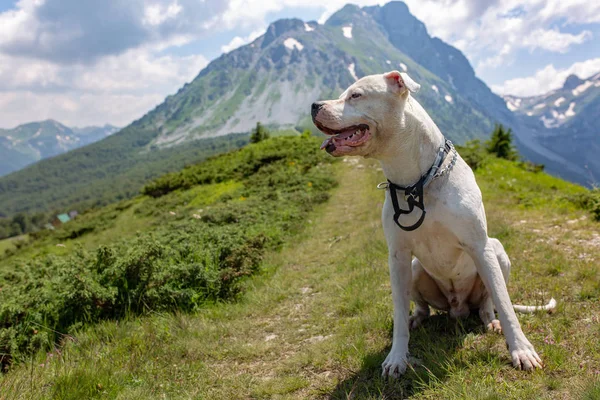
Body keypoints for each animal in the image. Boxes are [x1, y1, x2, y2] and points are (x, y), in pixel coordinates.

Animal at [312, 72, 556, 378]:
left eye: (355, 95)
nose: (314, 105)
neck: (416, 183)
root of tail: (458, 309)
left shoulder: (479, 246)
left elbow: (505, 303)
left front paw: (521, 351)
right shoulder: (398, 256)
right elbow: (399, 309)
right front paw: (397, 357)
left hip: (496, 252)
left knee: (488, 301)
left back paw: (490, 320)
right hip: (416, 269)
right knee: (421, 307)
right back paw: (417, 319)